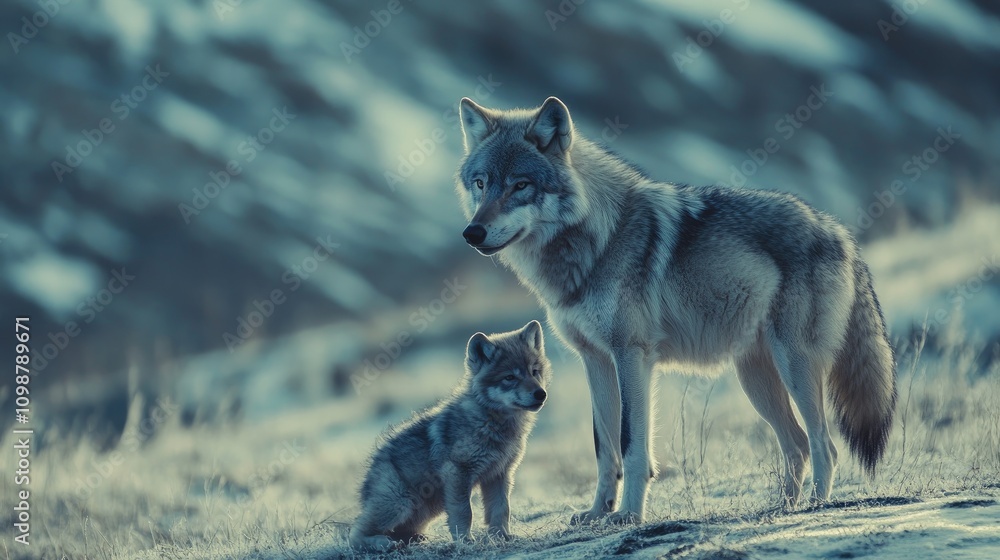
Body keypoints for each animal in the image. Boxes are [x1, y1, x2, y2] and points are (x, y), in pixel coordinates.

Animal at [349, 320, 551, 551]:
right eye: (510, 377)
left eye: (534, 372)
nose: (540, 394)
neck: (491, 422)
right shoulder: (458, 473)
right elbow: (465, 513)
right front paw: (465, 541)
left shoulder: (500, 475)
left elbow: (501, 509)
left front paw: (502, 537)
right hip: (400, 503)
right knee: (355, 533)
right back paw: (384, 543)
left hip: (428, 508)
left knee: (399, 530)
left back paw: (412, 539)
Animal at [454, 97, 896, 524]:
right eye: (481, 183)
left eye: (520, 185)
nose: (472, 233)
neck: (600, 239)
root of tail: (839, 231)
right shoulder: (594, 359)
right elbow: (603, 448)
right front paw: (598, 512)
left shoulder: (632, 355)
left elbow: (631, 445)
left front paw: (629, 515)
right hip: (756, 380)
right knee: (799, 444)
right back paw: (782, 508)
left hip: (795, 366)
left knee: (825, 445)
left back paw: (814, 506)